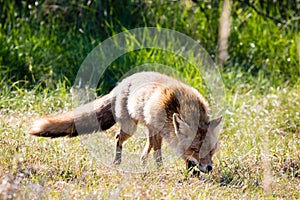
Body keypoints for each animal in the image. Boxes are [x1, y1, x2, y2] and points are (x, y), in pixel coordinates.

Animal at [29, 72, 223, 173]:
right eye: (196, 149)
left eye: (211, 150)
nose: (209, 168)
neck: (176, 106)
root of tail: (120, 85)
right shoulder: (158, 129)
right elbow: (158, 153)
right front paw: (160, 170)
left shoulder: (159, 130)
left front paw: (191, 172)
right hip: (131, 128)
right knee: (118, 137)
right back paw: (117, 162)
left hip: (144, 127)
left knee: (146, 146)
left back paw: (142, 162)